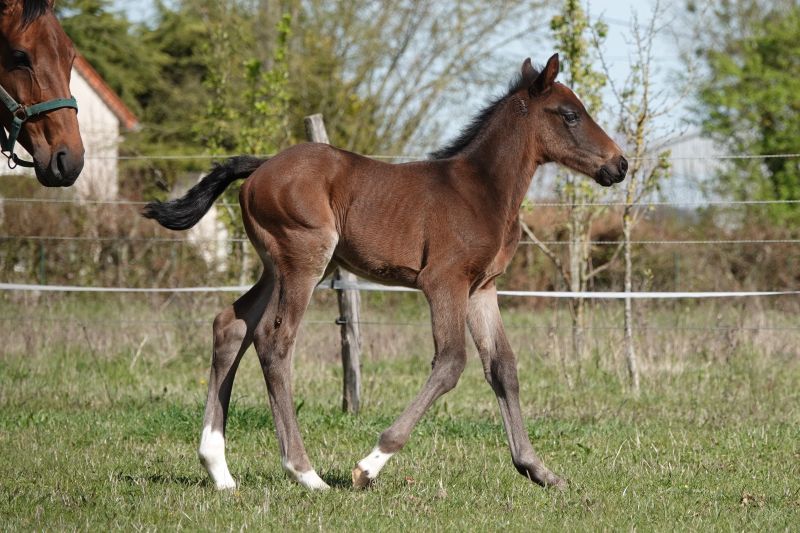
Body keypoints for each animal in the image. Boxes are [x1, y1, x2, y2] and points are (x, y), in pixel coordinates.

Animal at [147, 54, 628, 490]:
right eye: (570, 114)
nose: (619, 164)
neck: (481, 190)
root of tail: (262, 166)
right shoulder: (444, 281)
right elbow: (451, 362)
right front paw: (369, 465)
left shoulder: (482, 288)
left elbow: (503, 367)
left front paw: (538, 470)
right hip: (305, 259)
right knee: (273, 340)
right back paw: (305, 474)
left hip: (277, 265)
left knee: (231, 325)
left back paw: (218, 469)